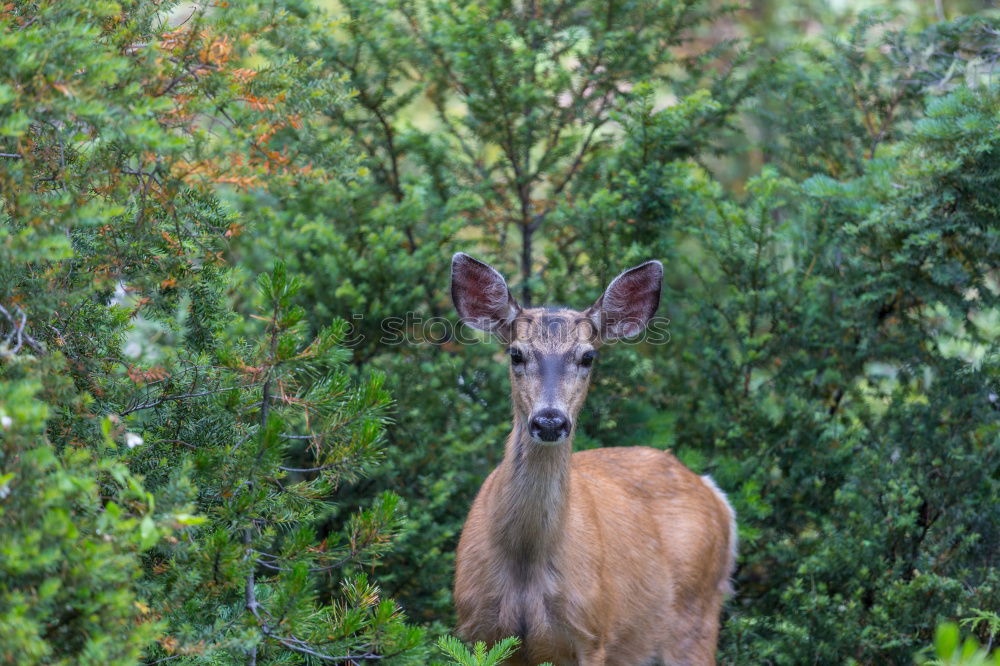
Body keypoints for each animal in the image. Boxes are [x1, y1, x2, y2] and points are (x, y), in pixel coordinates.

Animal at [450, 252, 740, 660]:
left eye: (587, 357)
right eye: (515, 354)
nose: (550, 420)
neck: (525, 559)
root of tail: (715, 494)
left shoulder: (592, 629)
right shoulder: (477, 629)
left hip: (695, 618)